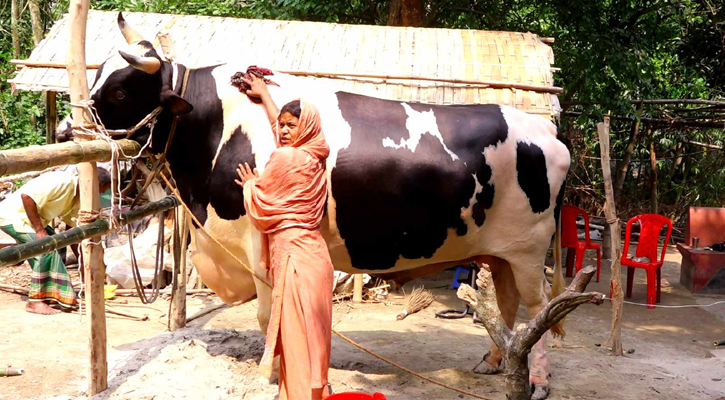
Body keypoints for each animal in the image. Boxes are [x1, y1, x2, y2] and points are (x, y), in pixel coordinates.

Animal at [58, 13, 572, 396]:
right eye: (98, 76)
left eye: (120, 90)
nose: (65, 130)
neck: (214, 126)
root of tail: (546, 131)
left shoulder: (257, 241)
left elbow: (268, 312)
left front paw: (271, 370)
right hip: (501, 253)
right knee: (506, 306)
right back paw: (493, 361)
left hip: (529, 251)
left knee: (537, 309)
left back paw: (538, 381)